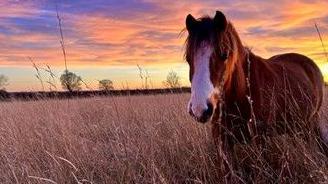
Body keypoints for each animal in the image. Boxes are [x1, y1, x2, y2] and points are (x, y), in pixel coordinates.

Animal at [184, 10, 326, 181]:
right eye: (188, 58)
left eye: (224, 54)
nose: (199, 109)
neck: (240, 95)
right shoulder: (222, 143)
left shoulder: (260, 140)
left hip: (310, 123)